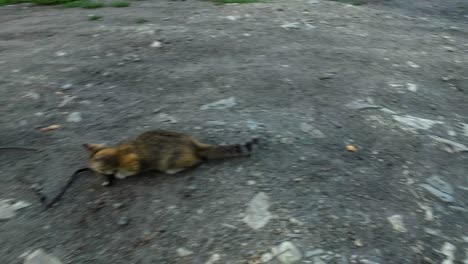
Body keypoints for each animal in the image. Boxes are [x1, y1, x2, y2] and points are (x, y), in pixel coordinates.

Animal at [84, 130, 260, 186]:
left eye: (97, 170)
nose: (90, 171)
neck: (117, 152)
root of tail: (192, 144)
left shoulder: (135, 163)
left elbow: (130, 170)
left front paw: (120, 173)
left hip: (172, 160)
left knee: (196, 162)